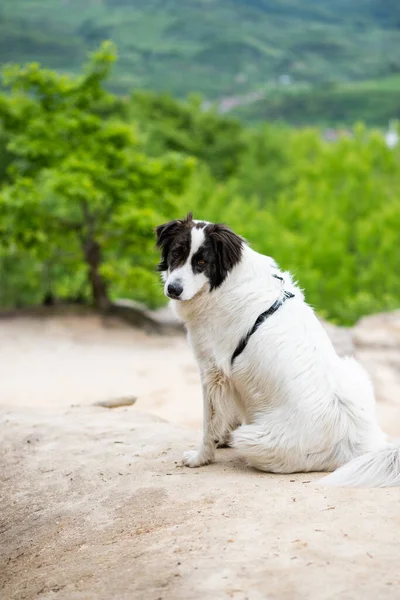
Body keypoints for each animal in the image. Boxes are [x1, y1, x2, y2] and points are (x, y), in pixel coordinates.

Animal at [155, 213, 398, 486]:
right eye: (176, 253)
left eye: (201, 262)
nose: (173, 289)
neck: (224, 283)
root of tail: (360, 446)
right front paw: (221, 441)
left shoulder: (213, 371)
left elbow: (210, 422)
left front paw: (200, 458)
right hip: (353, 369)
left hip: (250, 438)